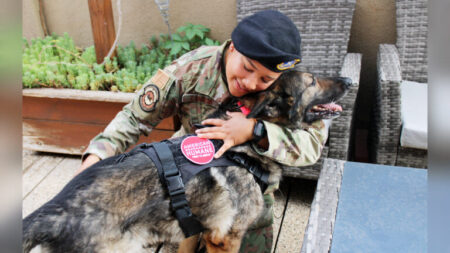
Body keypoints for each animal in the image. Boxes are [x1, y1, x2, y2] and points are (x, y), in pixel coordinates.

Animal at [22, 69, 352, 253]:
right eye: (312, 81)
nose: (349, 80)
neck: (240, 148)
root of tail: (50, 213)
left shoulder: (194, 228)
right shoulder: (226, 238)